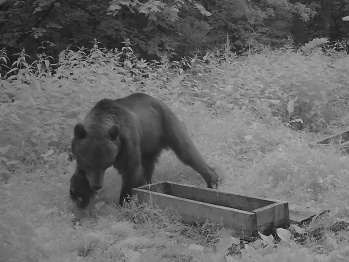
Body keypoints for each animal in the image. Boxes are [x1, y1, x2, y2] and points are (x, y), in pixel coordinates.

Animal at [69, 93, 219, 208]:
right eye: (89, 164)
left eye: (105, 164)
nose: (96, 186)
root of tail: (160, 101)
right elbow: (80, 176)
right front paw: (79, 198)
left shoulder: (127, 143)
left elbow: (131, 170)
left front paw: (125, 201)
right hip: (149, 143)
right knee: (148, 164)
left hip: (167, 125)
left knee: (186, 151)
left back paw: (213, 180)